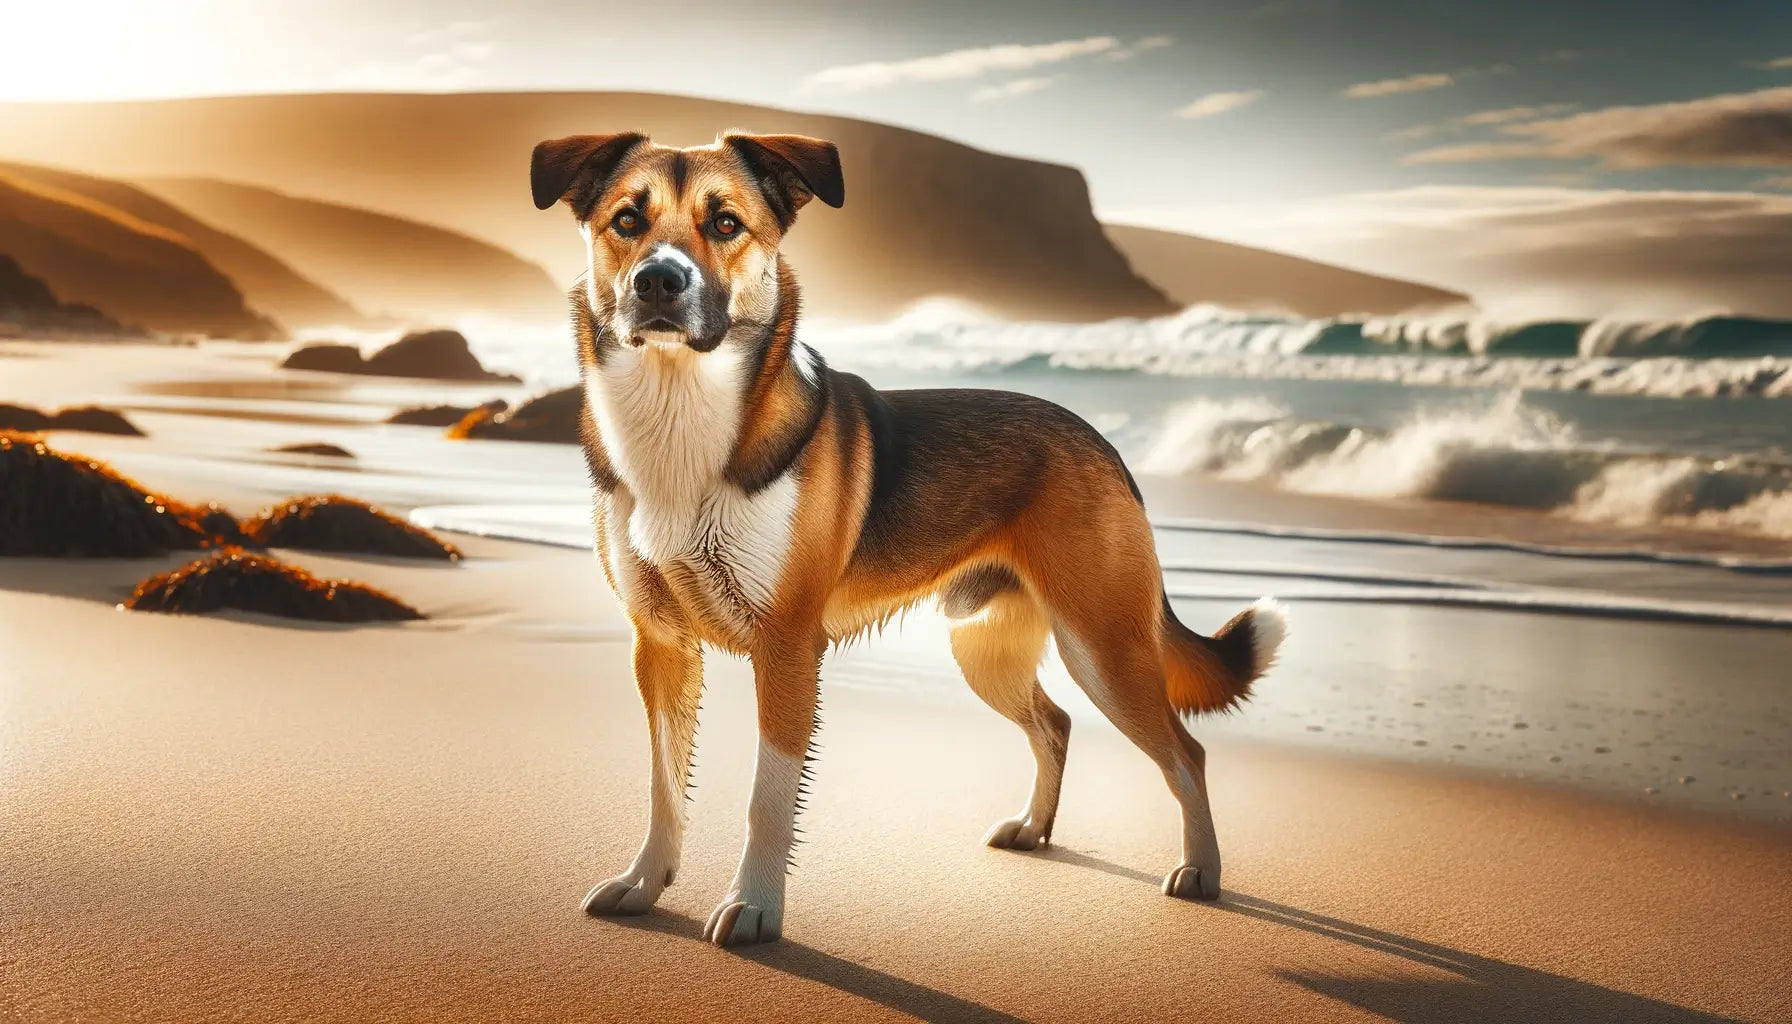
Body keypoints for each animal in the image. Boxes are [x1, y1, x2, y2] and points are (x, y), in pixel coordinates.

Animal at [523, 131, 1283, 946]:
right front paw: (645, 882)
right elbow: (664, 785)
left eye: (725, 224)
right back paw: (1034, 828)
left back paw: (1200, 871)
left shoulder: (786, 648)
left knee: (1186, 752)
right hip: (985, 650)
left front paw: (755, 907)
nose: (659, 282)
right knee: (1055, 724)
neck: (680, 413)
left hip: (1103, 646)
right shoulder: (661, 644)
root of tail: (1101, 443)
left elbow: (767, 796)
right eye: (627, 221)